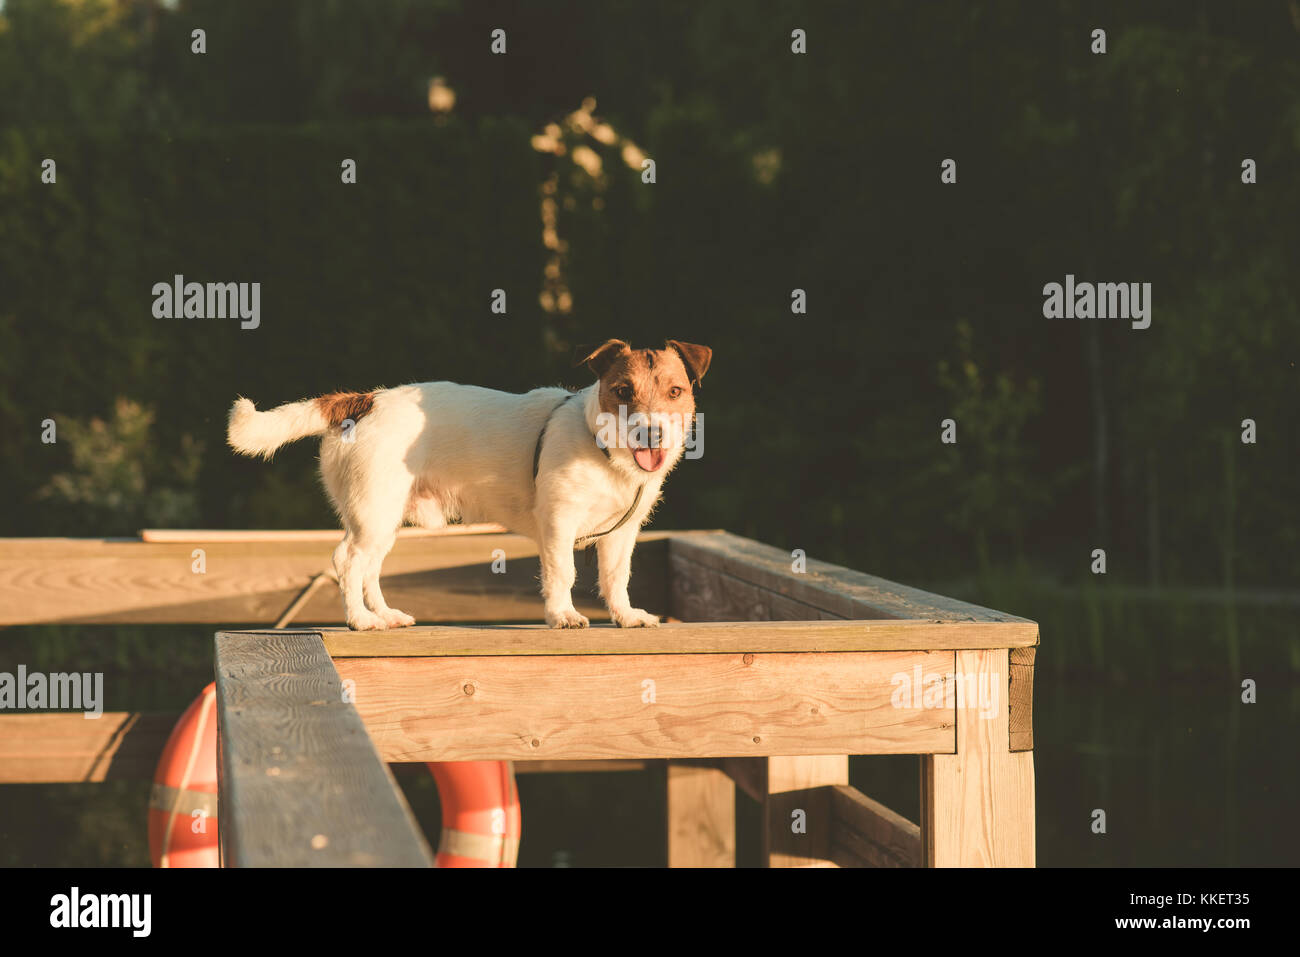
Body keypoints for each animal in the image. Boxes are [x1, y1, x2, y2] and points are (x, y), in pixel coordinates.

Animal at [226, 340, 712, 631]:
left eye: (674, 391)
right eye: (623, 391)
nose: (651, 434)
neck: (601, 447)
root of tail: (363, 400)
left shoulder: (621, 535)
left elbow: (615, 577)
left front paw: (625, 615)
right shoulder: (558, 524)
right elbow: (563, 574)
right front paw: (563, 615)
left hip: (383, 519)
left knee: (369, 569)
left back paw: (383, 614)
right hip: (374, 514)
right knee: (347, 561)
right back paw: (361, 621)